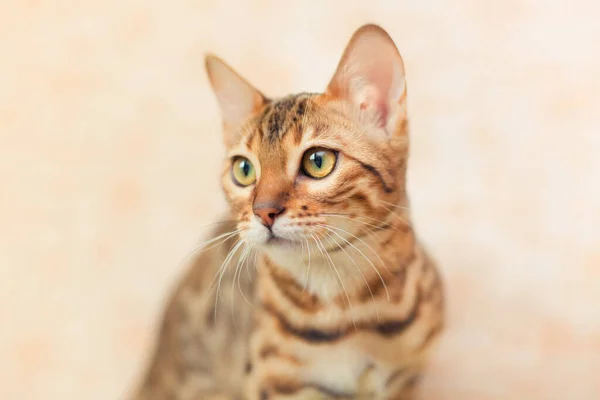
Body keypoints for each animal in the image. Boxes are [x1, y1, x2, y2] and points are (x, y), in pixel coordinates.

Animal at [131, 23, 446, 398]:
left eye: (318, 161)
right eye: (243, 170)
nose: (264, 211)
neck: (350, 309)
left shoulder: (405, 379)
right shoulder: (274, 382)